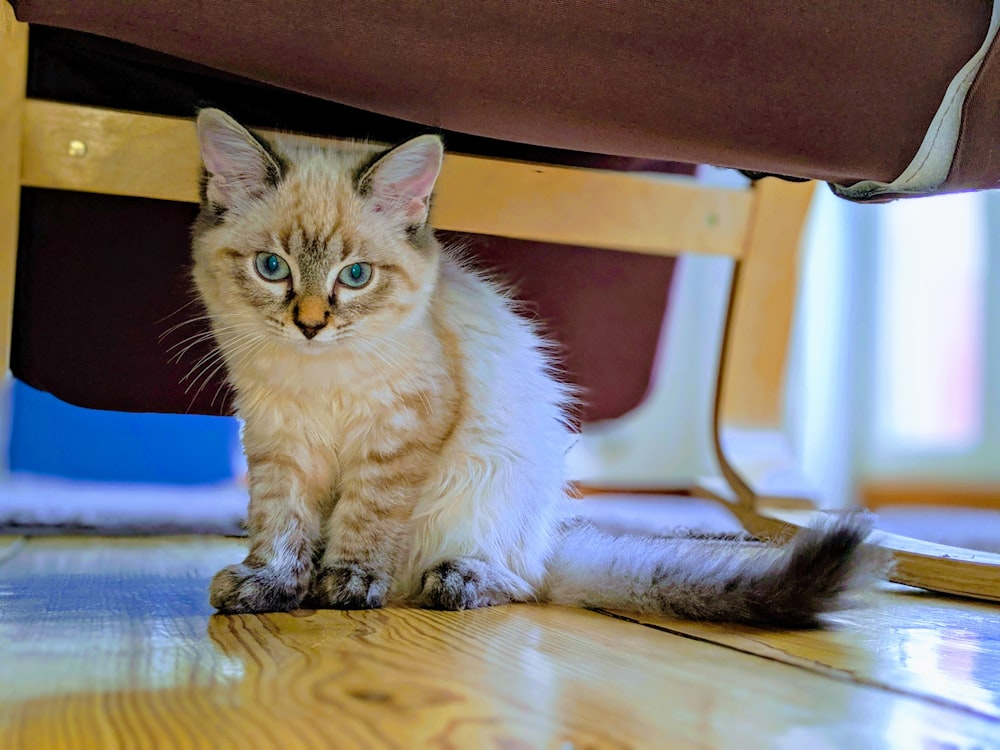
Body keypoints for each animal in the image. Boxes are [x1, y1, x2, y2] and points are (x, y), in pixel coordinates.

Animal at [189, 110, 876, 628]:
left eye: (354, 276)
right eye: (271, 268)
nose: (310, 324)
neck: (318, 376)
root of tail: (548, 540)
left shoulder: (398, 437)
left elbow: (363, 521)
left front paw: (347, 585)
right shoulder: (280, 445)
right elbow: (282, 528)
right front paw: (270, 588)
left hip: (483, 487)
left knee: (517, 583)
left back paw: (457, 580)